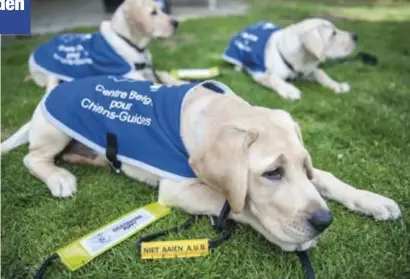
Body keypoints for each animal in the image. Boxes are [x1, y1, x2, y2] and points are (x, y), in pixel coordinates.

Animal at [0, 77, 400, 253]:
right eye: (271, 173)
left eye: (305, 167)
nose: (323, 221)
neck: (216, 113)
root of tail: (47, 95)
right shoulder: (177, 190)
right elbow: (239, 205)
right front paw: (289, 237)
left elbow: (327, 178)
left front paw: (372, 200)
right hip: (53, 130)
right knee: (32, 157)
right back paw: (59, 177)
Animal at [29, 0, 180, 93]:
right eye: (153, 12)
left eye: (162, 9)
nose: (176, 23)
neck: (126, 40)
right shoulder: (132, 75)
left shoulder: (148, 69)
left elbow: (164, 74)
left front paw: (179, 82)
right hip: (51, 73)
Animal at [223, 18, 358, 99]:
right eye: (333, 34)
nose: (356, 36)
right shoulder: (260, 73)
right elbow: (273, 78)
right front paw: (289, 90)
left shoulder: (306, 71)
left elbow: (320, 72)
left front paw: (337, 85)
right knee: (239, 64)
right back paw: (238, 68)